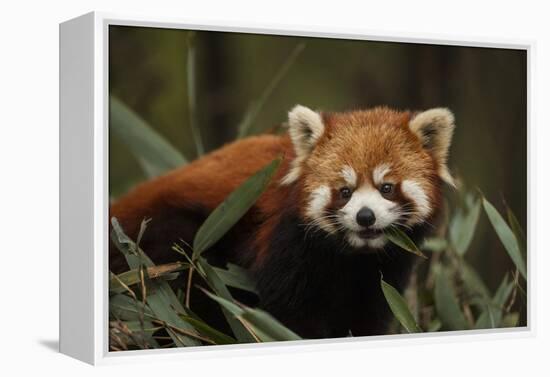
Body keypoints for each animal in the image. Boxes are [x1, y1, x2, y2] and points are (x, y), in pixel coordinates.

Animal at [111, 105, 458, 338]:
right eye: (344, 191)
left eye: (386, 187)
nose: (365, 216)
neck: (351, 256)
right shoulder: (286, 241)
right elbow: (289, 313)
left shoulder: (384, 270)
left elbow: (368, 313)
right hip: (172, 237)